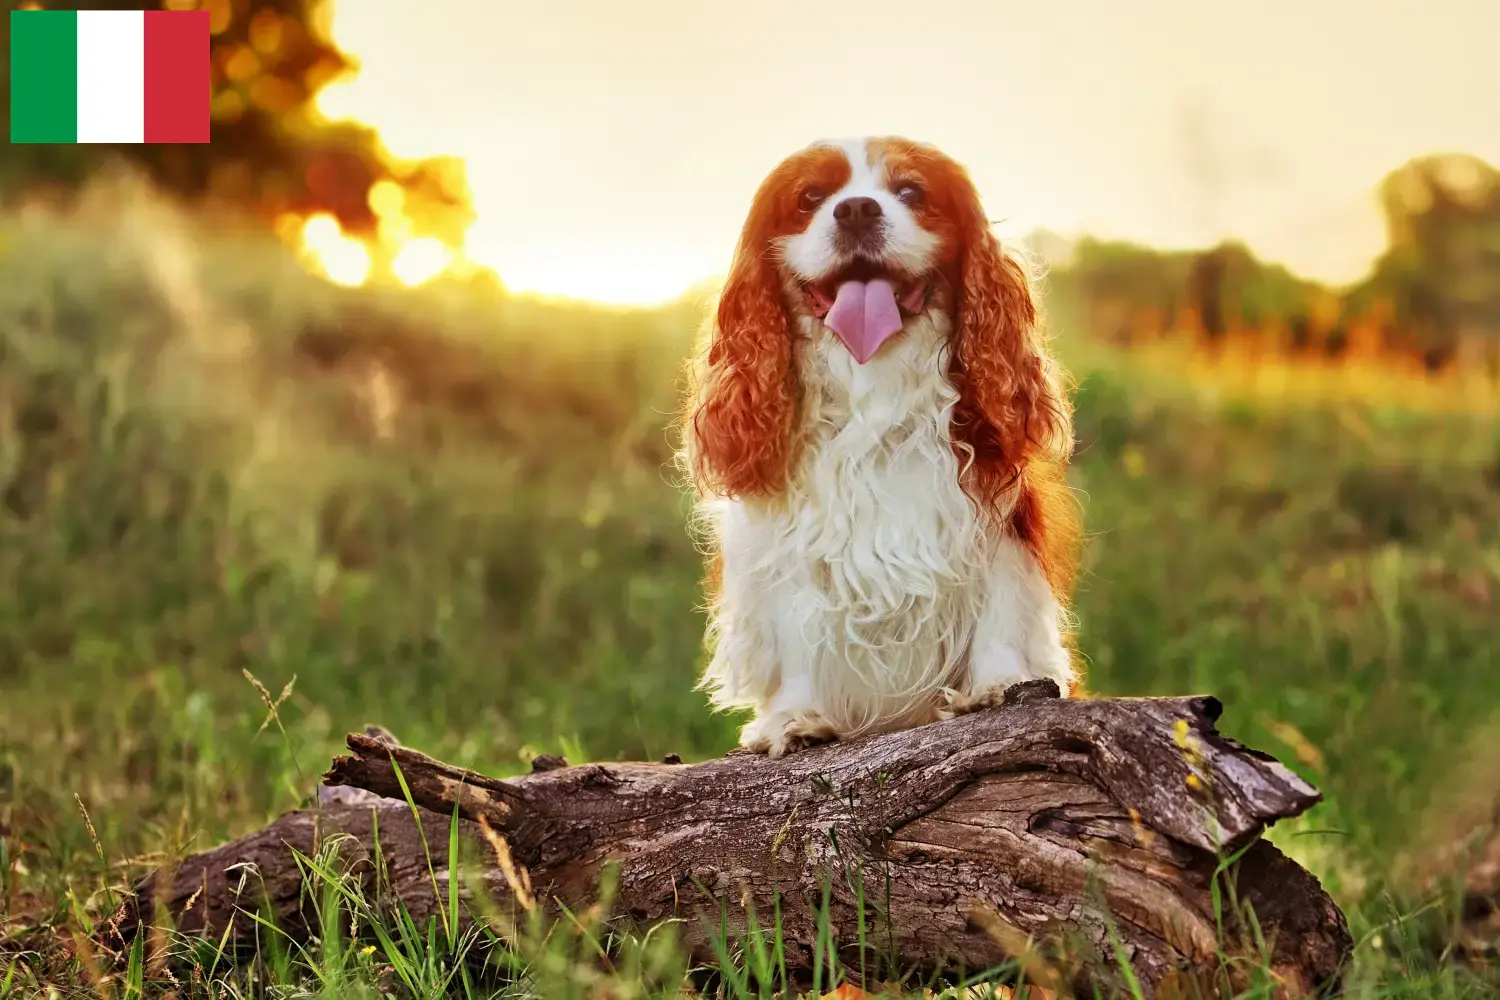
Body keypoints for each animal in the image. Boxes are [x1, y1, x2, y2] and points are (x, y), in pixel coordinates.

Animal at [681, 134, 1080, 758]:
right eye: (811, 197)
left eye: (911, 192)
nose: (856, 210)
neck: (872, 379)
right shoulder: (789, 544)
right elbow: (796, 629)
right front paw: (795, 717)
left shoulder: (993, 516)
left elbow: (1001, 604)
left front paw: (999, 684)